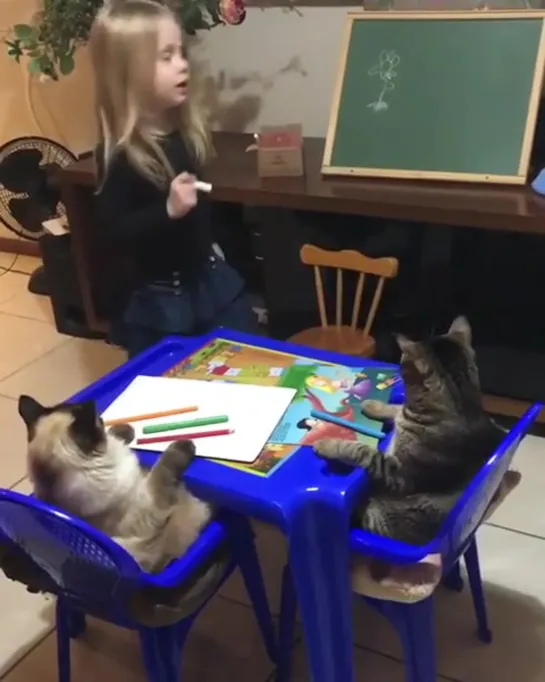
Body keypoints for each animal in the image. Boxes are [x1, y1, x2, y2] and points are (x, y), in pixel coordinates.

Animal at [17, 396, 212, 572]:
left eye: (102, 422)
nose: (102, 420)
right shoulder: (150, 505)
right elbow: (163, 466)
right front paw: (185, 445)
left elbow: (118, 434)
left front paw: (125, 429)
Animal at [312, 316, 504, 544]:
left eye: (403, 357)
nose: (397, 363)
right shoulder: (403, 415)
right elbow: (395, 409)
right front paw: (372, 405)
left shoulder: (398, 473)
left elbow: (361, 450)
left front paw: (327, 444)